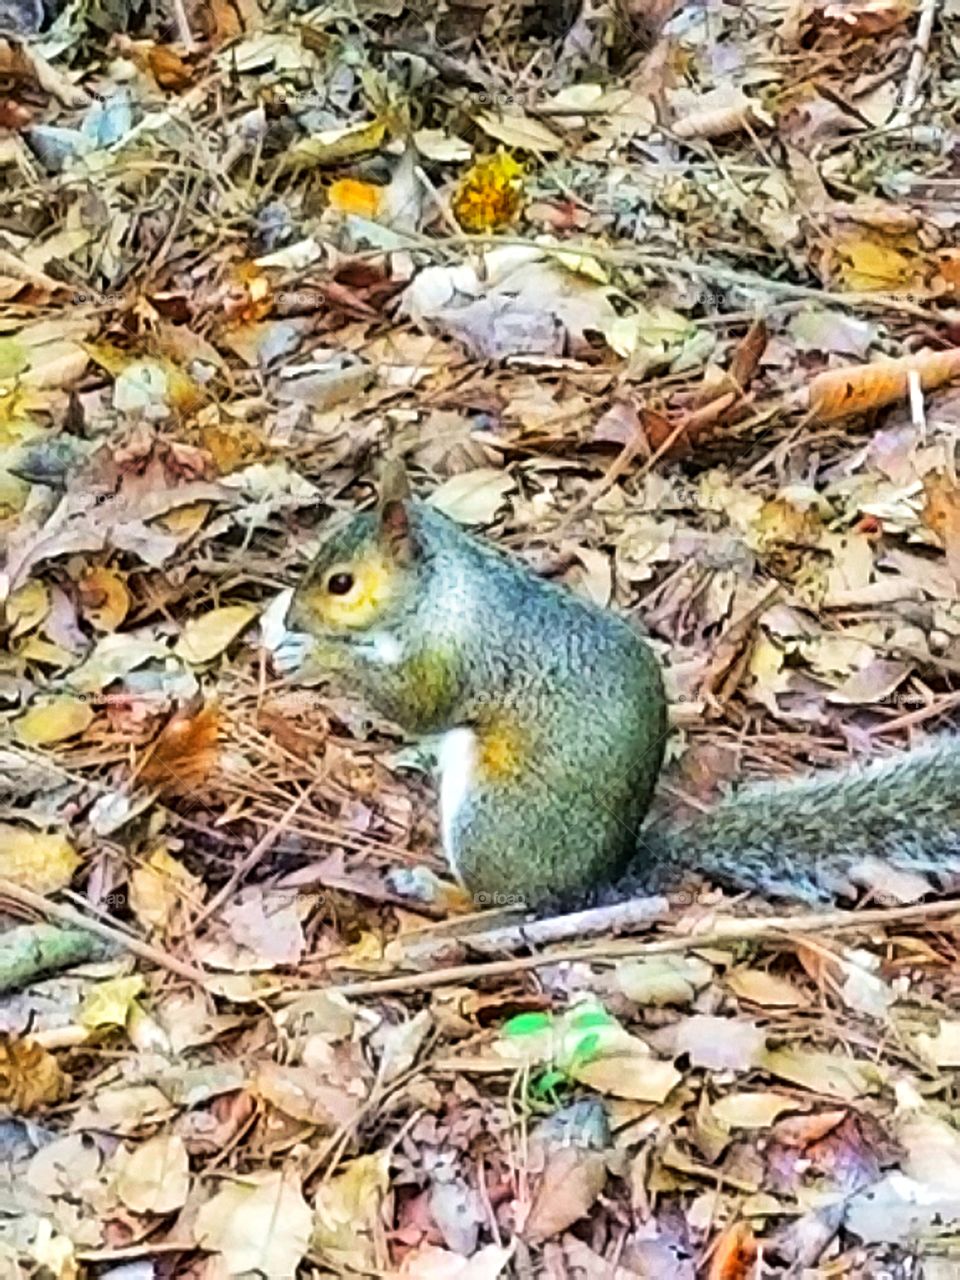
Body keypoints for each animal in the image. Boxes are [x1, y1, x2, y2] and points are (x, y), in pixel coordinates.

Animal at [286, 464, 960, 910]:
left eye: (341, 583)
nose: (293, 619)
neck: (439, 591)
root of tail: (600, 879)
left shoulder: (458, 651)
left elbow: (420, 705)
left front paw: (317, 654)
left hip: (491, 821)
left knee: (496, 903)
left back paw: (431, 889)